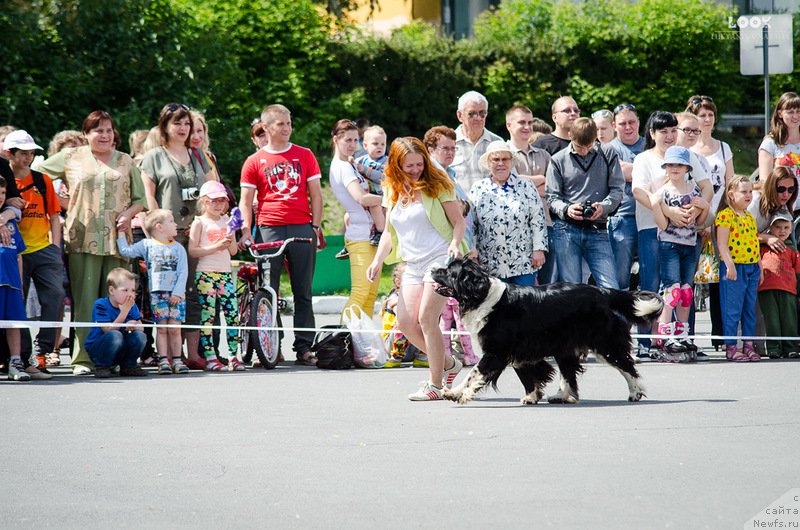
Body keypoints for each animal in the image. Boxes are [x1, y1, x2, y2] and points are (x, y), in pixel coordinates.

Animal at [432, 258, 664, 402]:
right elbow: (526, 373)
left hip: (604, 342)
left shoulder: (496, 351)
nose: (433, 269)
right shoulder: (518, 350)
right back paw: (562, 396)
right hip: (565, 345)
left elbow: (475, 372)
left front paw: (457, 393)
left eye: (449, 271)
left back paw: (635, 393)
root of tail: (601, 290)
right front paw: (532, 396)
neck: (483, 296)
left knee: (626, 366)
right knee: (568, 372)